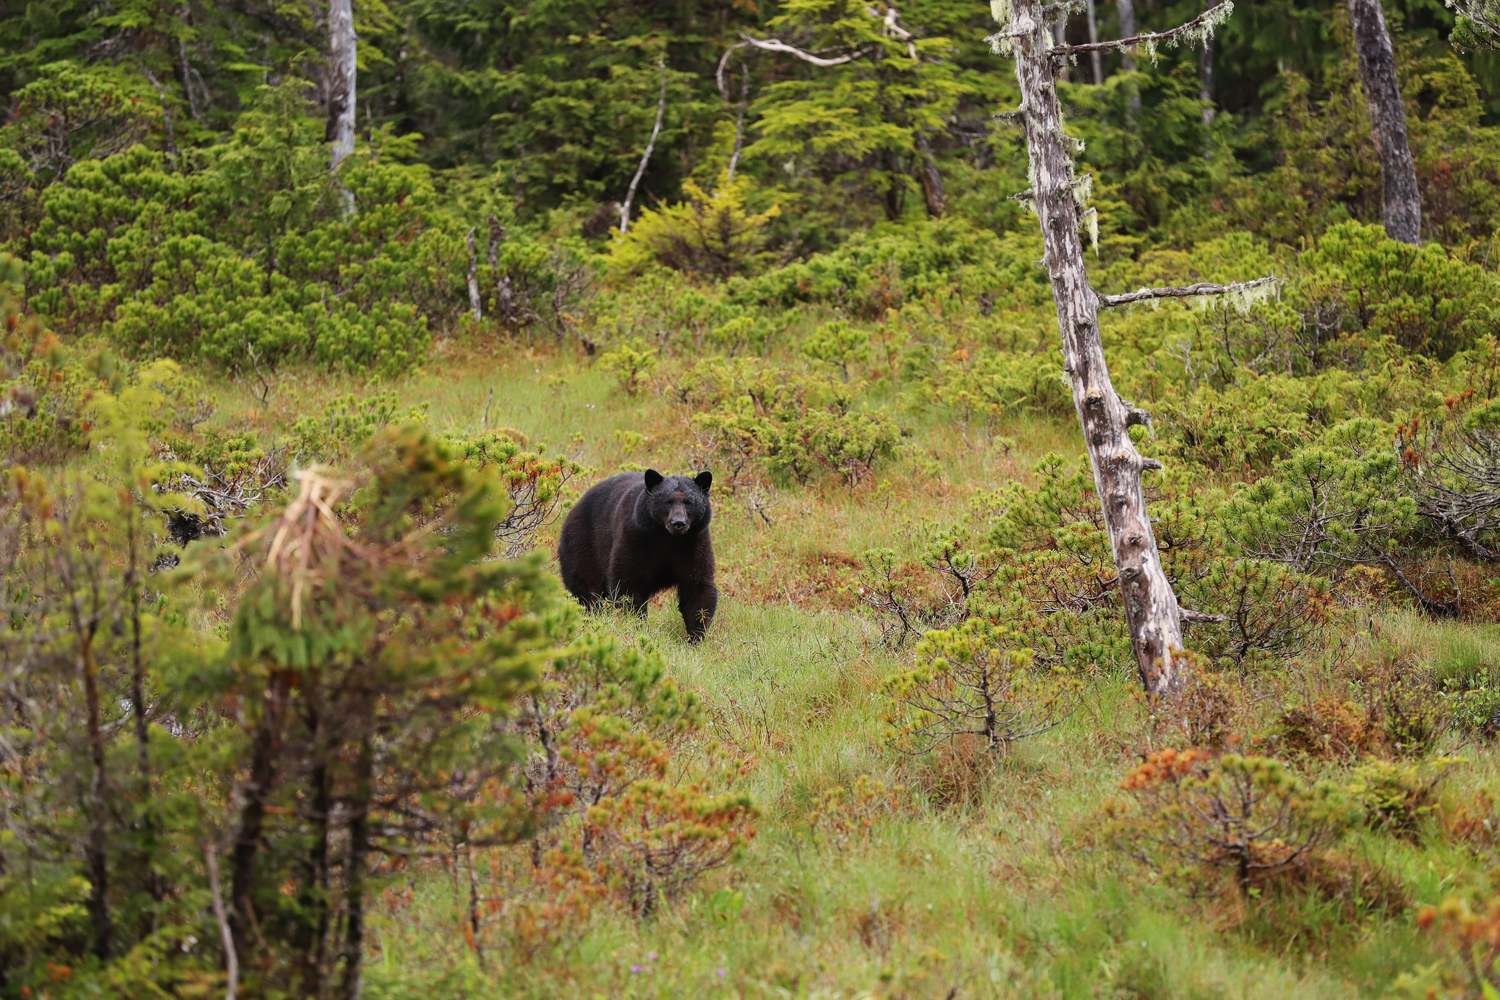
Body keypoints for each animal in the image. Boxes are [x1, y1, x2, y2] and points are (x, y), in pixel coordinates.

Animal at [558, 467, 720, 641]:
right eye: (667, 502)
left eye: (689, 502)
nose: (678, 523)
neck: (668, 539)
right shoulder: (635, 539)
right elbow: (627, 583)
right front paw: (638, 626)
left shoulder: (694, 544)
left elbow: (698, 587)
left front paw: (695, 636)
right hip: (583, 546)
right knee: (588, 587)